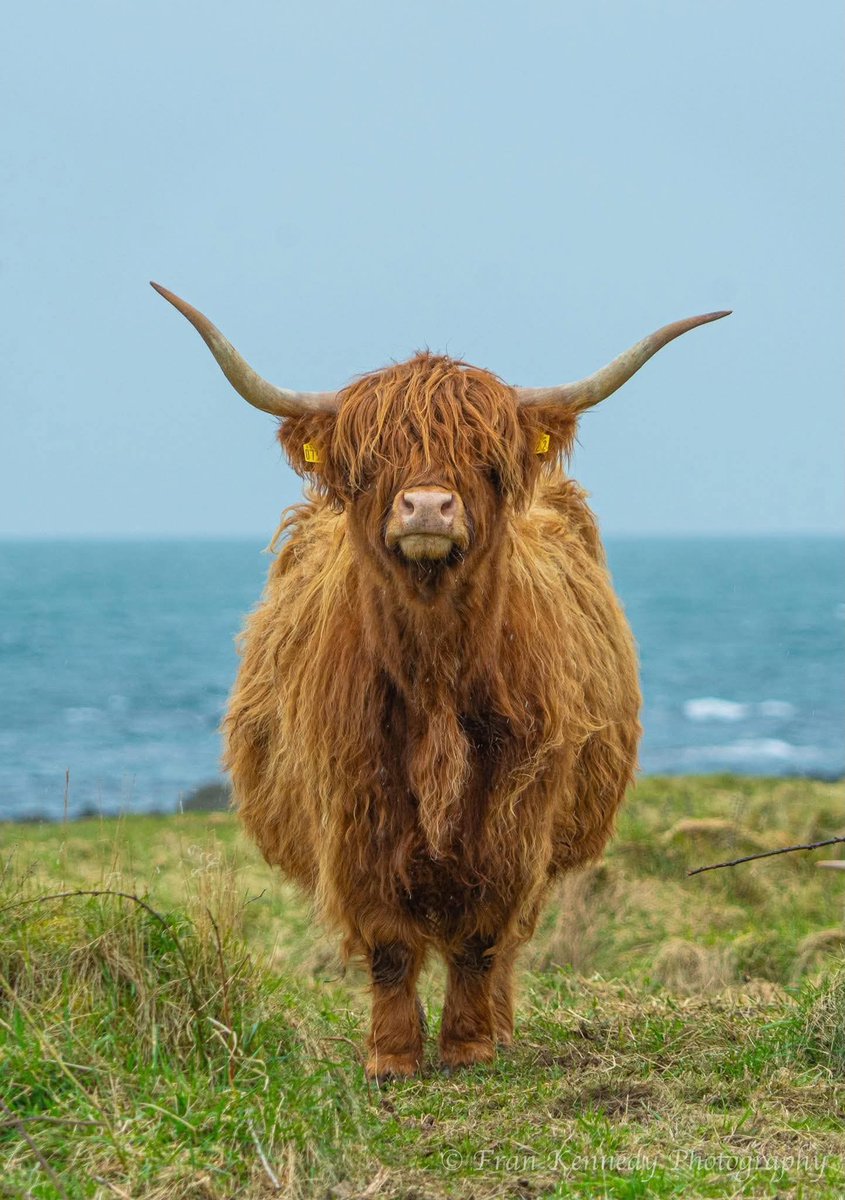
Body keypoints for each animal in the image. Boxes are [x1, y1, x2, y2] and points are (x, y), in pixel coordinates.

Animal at [152, 282, 728, 1079]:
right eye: (372, 460)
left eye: (483, 456)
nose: (427, 506)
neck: (433, 678)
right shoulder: (355, 807)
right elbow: (391, 945)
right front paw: (392, 1056)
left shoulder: (515, 809)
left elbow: (481, 937)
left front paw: (469, 1046)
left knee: (512, 942)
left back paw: (505, 1029)